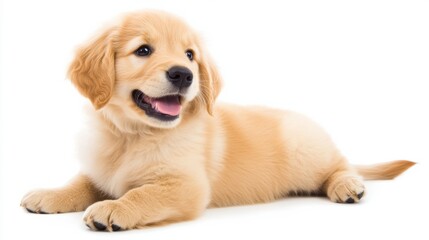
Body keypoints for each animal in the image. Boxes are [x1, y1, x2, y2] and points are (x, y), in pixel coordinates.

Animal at [20, 10, 414, 231]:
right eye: (143, 50)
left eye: (189, 55)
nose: (183, 74)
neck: (133, 134)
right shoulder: (100, 169)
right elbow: (79, 183)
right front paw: (49, 195)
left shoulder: (186, 186)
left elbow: (142, 194)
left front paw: (114, 207)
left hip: (309, 153)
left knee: (342, 164)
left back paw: (348, 186)